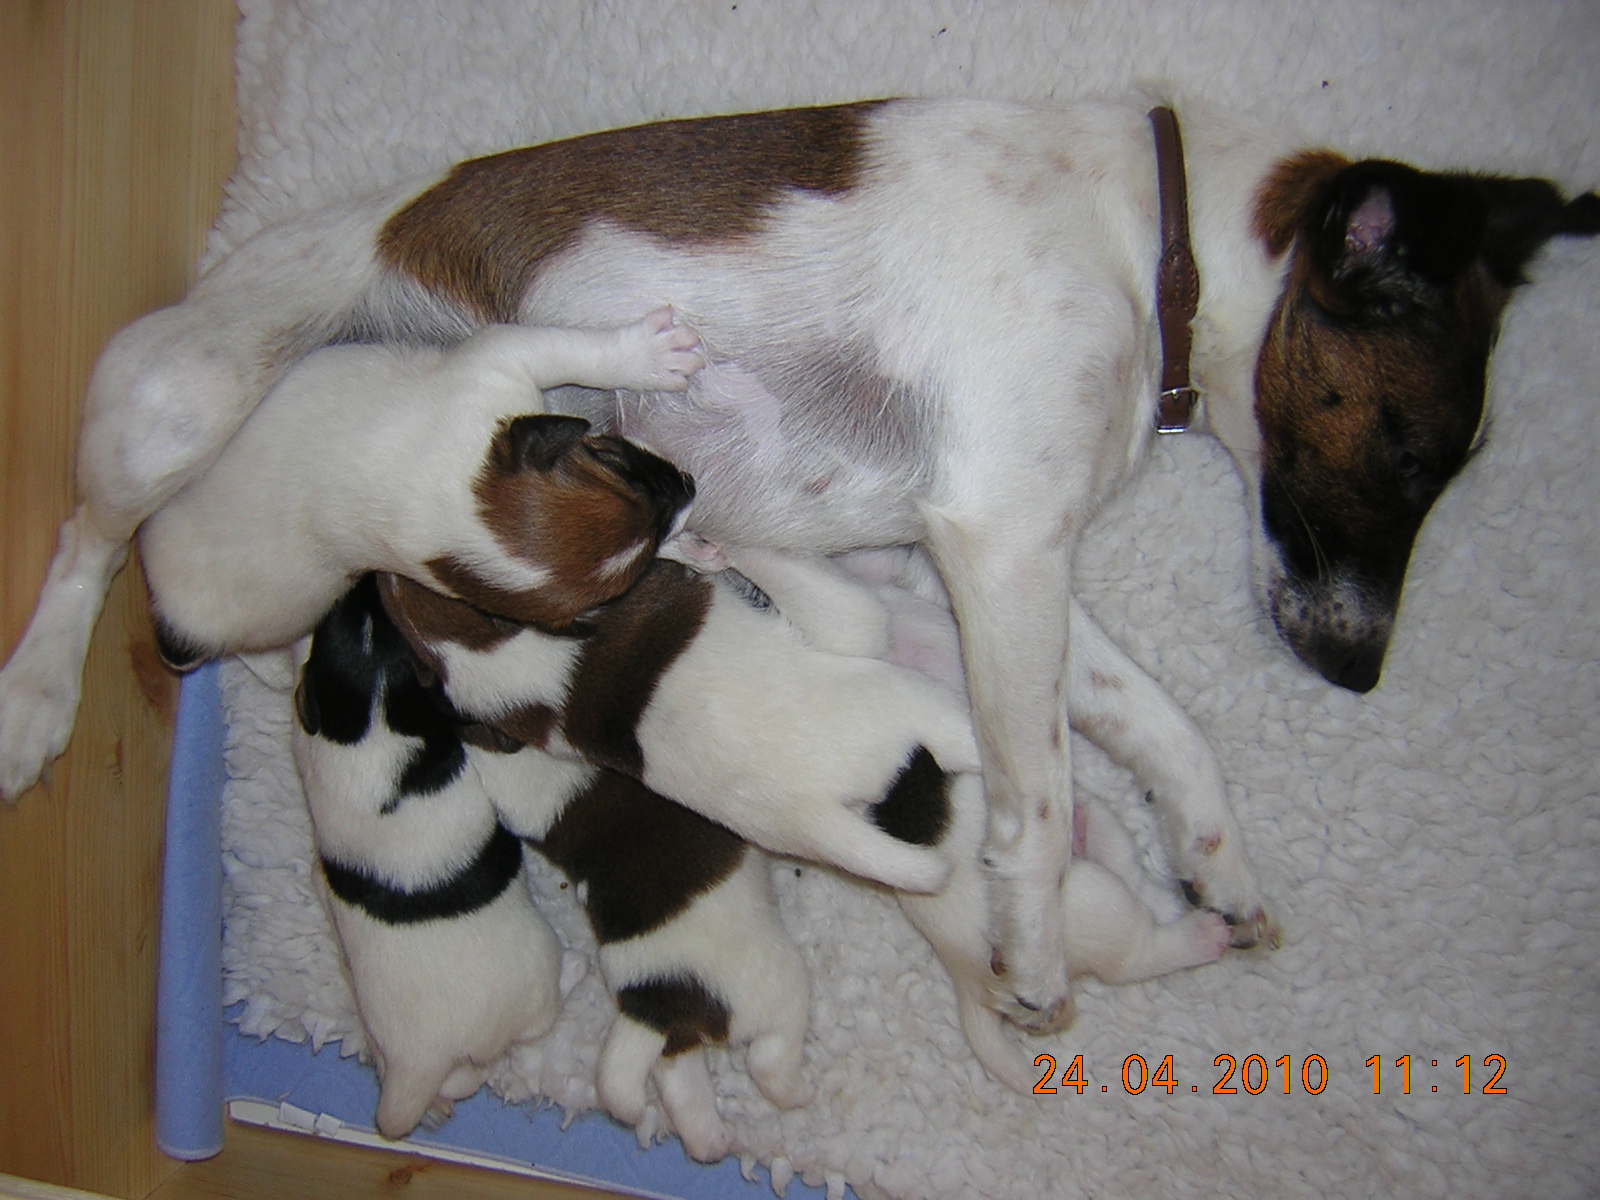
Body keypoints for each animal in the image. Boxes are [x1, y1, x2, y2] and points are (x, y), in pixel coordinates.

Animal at [0, 96, 1593, 1036]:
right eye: (1414, 456)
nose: (1357, 675)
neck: (1153, 243)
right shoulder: (1004, 540)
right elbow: (1037, 792)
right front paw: (1033, 953)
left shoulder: (1004, 551)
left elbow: (1159, 727)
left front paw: (1215, 860)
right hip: (171, 406)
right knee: (83, 545)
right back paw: (34, 703)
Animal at [291, 579, 566, 1139]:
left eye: (343, 612)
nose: (368, 576)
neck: (373, 724)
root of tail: (421, 1063)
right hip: (538, 984)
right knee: (528, 1031)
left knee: (450, 1079)